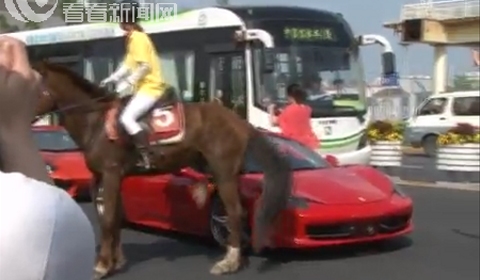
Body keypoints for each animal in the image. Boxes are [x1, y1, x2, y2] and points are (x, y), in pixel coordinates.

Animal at [34, 60, 292, 278]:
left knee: (234, 212)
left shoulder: (111, 174)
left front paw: (102, 265)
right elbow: (113, 217)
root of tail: (239, 121)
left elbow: (107, 219)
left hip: (224, 172)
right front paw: (116, 261)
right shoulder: (103, 177)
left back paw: (229, 261)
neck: (96, 122)